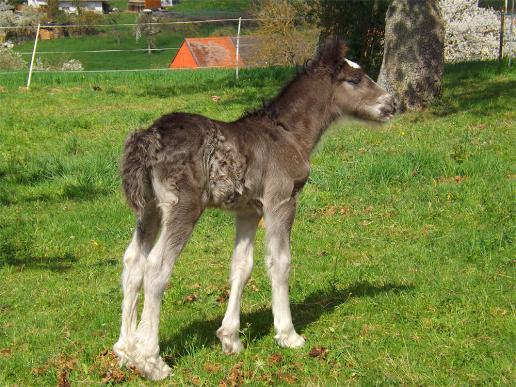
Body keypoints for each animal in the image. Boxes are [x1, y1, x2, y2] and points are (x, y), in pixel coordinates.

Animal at [113, 40, 396, 382]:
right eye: (354, 79)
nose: (392, 104)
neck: (288, 134)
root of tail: (148, 136)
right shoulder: (281, 201)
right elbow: (280, 262)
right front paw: (288, 334)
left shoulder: (248, 211)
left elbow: (241, 266)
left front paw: (230, 338)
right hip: (183, 207)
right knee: (156, 268)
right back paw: (151, 360)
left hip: (149, 210)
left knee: (133, 262)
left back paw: (126, 350)